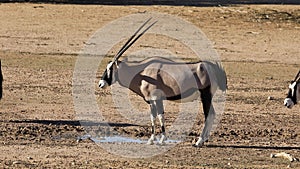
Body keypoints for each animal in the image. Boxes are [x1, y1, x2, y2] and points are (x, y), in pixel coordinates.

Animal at [98, 18, 227, 147]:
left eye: (110, 68)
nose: (101, 84)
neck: (142, 72)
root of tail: (212, 67)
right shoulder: (153, 100)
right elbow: (154, 117)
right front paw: (152, 139)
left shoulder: (155, 98)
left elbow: (159, 116)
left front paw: (160, 139)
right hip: (206, 96)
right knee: (212, 114)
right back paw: (204, 139)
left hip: (205, 95)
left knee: (208, 115)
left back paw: (198, 141)